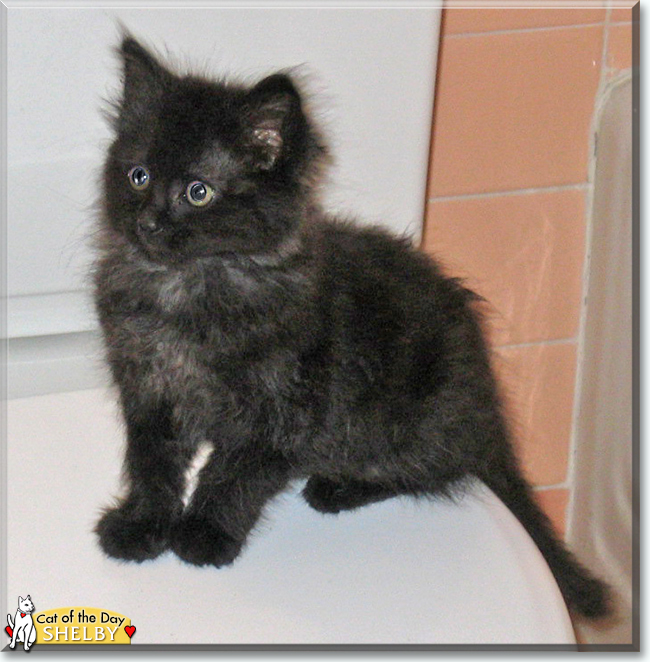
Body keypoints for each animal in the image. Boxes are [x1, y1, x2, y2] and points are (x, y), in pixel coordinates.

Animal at [92, 36, 608, 624]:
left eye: (198, 192)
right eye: (138, 176)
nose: (148, 223)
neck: (189, 287)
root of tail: (487, 409)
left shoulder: (284, 412)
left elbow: (233, 473)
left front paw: (204, 533)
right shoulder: (148, 388)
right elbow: (151, 463)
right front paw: (142, 525)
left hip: (410, 422)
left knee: (434, 470)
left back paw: (338, 488)